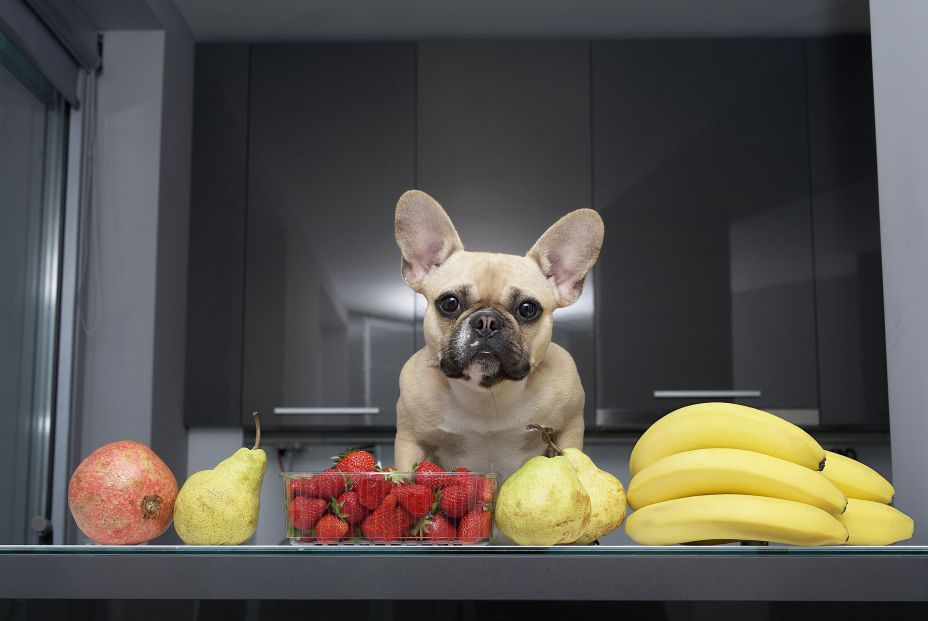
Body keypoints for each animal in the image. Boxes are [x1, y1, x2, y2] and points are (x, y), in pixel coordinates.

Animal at [390, 188, 600, 480]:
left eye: (528, 309)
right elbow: (406, 477)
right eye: (449, 303)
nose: (487, 321)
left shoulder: (569, 428)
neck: (487, 393)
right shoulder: (410, 440)